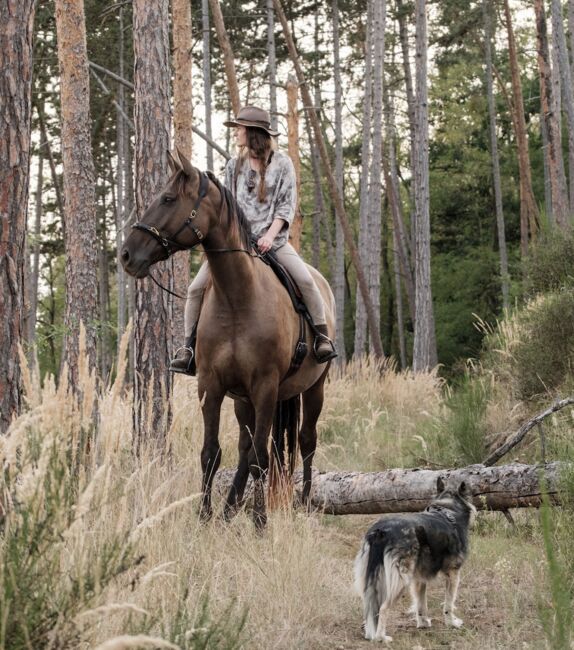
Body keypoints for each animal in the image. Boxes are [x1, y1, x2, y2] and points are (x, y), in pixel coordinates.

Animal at [120, 149, 335, 529]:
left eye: (168, 198)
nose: (127, 255)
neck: (238, 297)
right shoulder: (211, 385)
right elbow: (212, 453)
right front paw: (205, 516)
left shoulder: (265, 387)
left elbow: (262, 457)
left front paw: (261, 522)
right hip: (242, 400)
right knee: (244, 448)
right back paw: (229, 509)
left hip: (313, 388)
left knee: (306, 440)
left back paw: (305, 503)